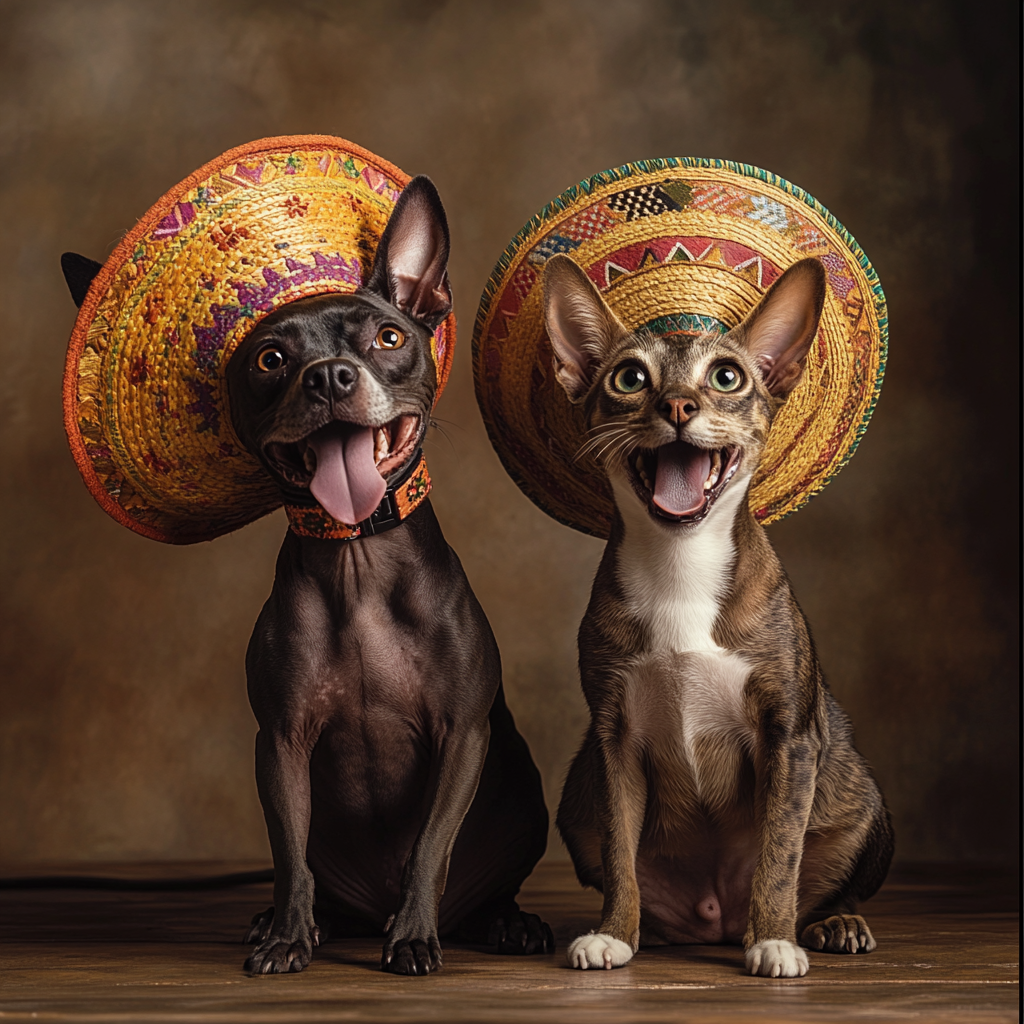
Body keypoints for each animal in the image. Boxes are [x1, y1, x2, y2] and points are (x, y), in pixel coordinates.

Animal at [548, 249, 892, 974]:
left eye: (727, 376)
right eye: (629, 377)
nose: (679, 404)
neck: (682, 559)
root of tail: (714, 918)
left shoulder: (788, 736)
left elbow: (780, 851)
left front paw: (775, 939)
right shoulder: (614, 740)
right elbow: (620, 851)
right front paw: (614, 933)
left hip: (866, 807)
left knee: (831, 879)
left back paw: (831, 923)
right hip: (574, 800)